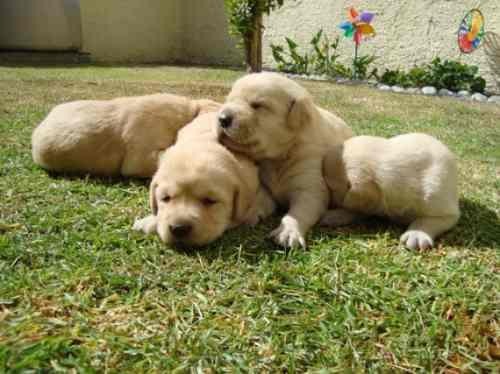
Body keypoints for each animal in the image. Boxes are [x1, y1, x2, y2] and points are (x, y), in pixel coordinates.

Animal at [218, 72, 352, 248]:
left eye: (257, 105)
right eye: (229, 100)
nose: (221, 119)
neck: (277, 157)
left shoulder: (309, 183)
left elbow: (301, 210)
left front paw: (287, 232)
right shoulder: (265, 183)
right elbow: (261, 197)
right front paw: (249, 213)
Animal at [320, 133, 460, 250]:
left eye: (331, 188)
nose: (328, 204)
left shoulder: (443, 209)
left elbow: (426, 220)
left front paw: (416, 234)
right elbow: (355, 211)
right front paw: (334, 215)